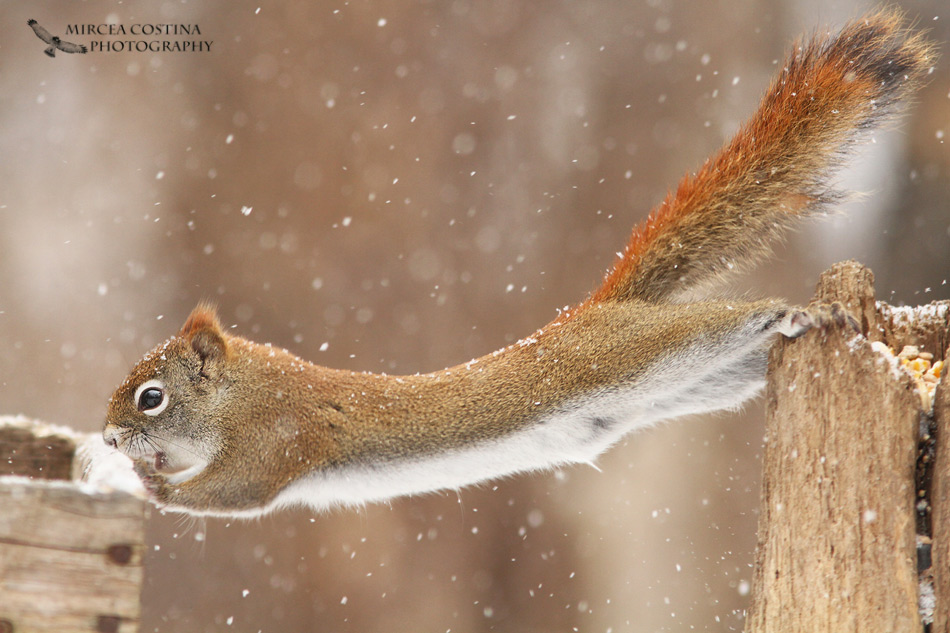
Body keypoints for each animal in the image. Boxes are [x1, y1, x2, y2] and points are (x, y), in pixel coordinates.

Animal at [104, 11, 936, 512]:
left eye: (150, 397)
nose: (109, 438)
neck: (240, 392)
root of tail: (596, 309)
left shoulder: (275, 440)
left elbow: (232, 493)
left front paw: (148, 483)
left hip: (641, 350)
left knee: (730, 319)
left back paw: (801, 308)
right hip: (690, 383)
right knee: (739, 360)